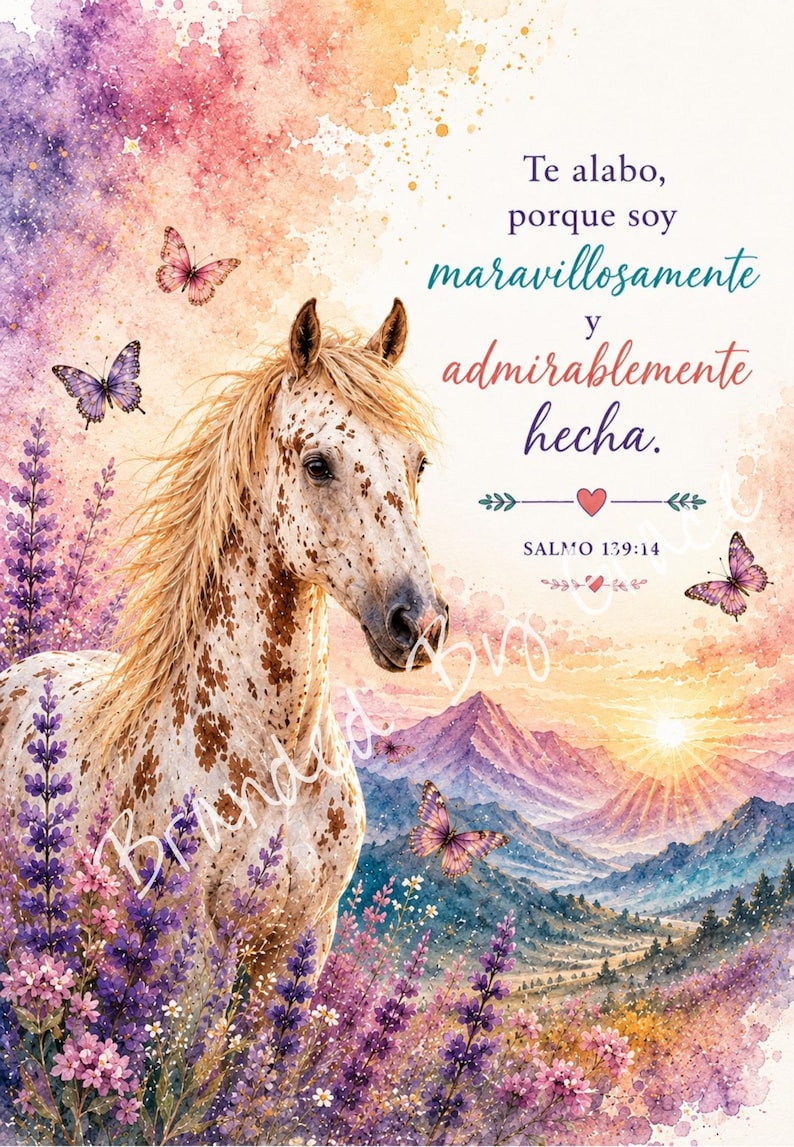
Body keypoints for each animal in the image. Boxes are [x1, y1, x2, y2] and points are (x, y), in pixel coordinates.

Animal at [0, 297, 447, 976]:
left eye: (417, 463)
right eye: (318, 465)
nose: (420, 624)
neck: (281, 767)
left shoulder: (304, 942)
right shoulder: (193, 944)